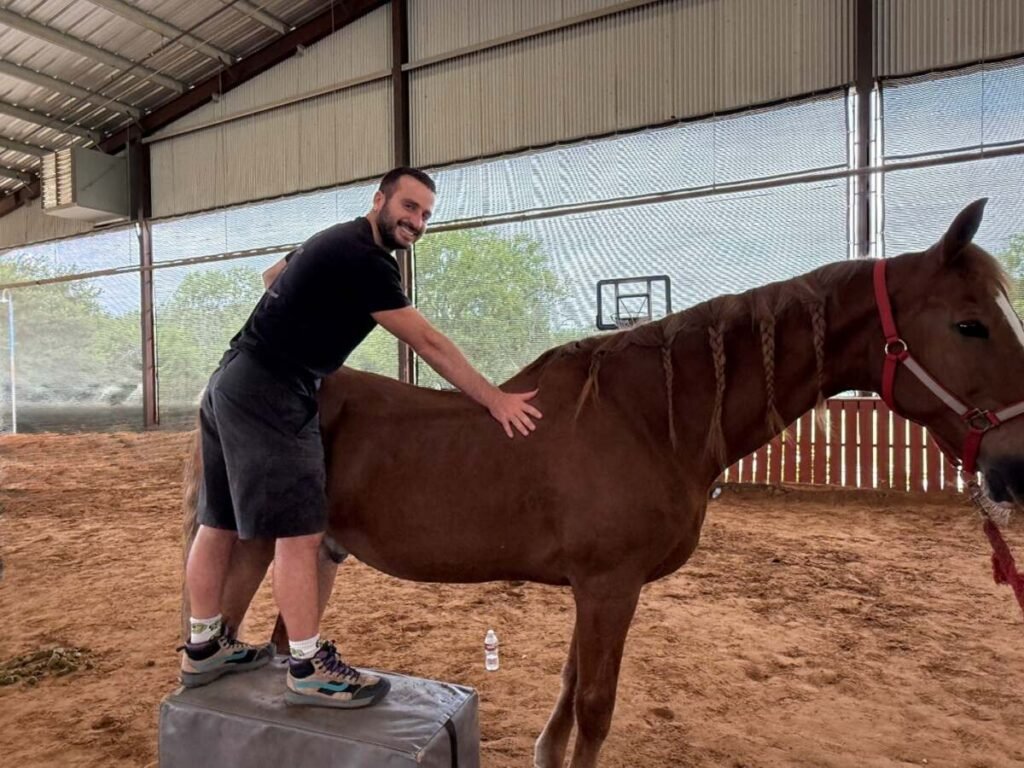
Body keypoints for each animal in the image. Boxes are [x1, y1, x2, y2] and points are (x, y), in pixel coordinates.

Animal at [182, 199, 1024, 768]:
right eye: (970, 324)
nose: (1014, 467)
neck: (648, 417)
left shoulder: (594, 590)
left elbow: (569, 688)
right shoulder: (610, 585)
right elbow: (595, 704)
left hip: (315, 550)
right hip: (254, 542)